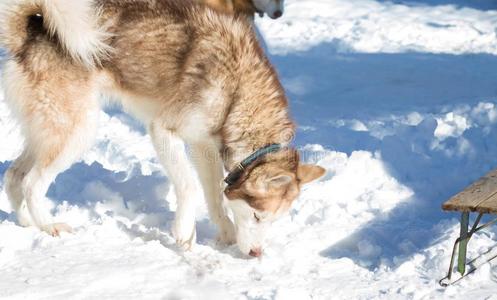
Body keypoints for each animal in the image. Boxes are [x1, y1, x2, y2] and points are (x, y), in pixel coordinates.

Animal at [0, 0, 324, 258]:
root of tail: (31, 31)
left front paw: (225, 232)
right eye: (257, 216)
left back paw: (27, 223)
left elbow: (214, 195)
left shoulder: (205, 147)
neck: (236, 90)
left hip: (49, 133)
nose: (257, 253)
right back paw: (49, 226)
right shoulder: (163, 130)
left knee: (14, 175)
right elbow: (188, 185)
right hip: (77, 133)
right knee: (32, 183)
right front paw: (184, 232)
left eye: (272, 221)